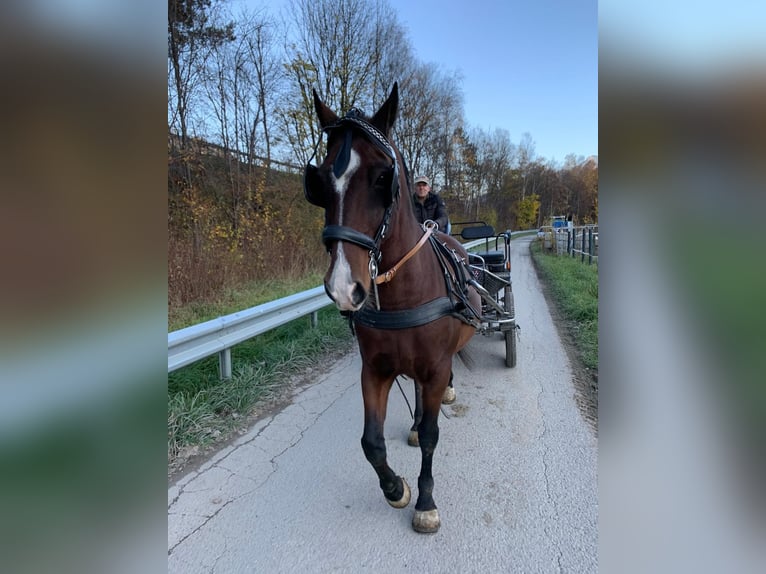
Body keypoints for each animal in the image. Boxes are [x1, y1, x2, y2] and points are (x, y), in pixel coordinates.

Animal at [304, 83, 480, 532]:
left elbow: (434, 436)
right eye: (319, 181)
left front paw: (425, 501)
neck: (402, 293)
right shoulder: (375, 370)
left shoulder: (434, 366)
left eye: (384, 177)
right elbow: (371, 442)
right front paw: (395, 488)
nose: (344, 287)